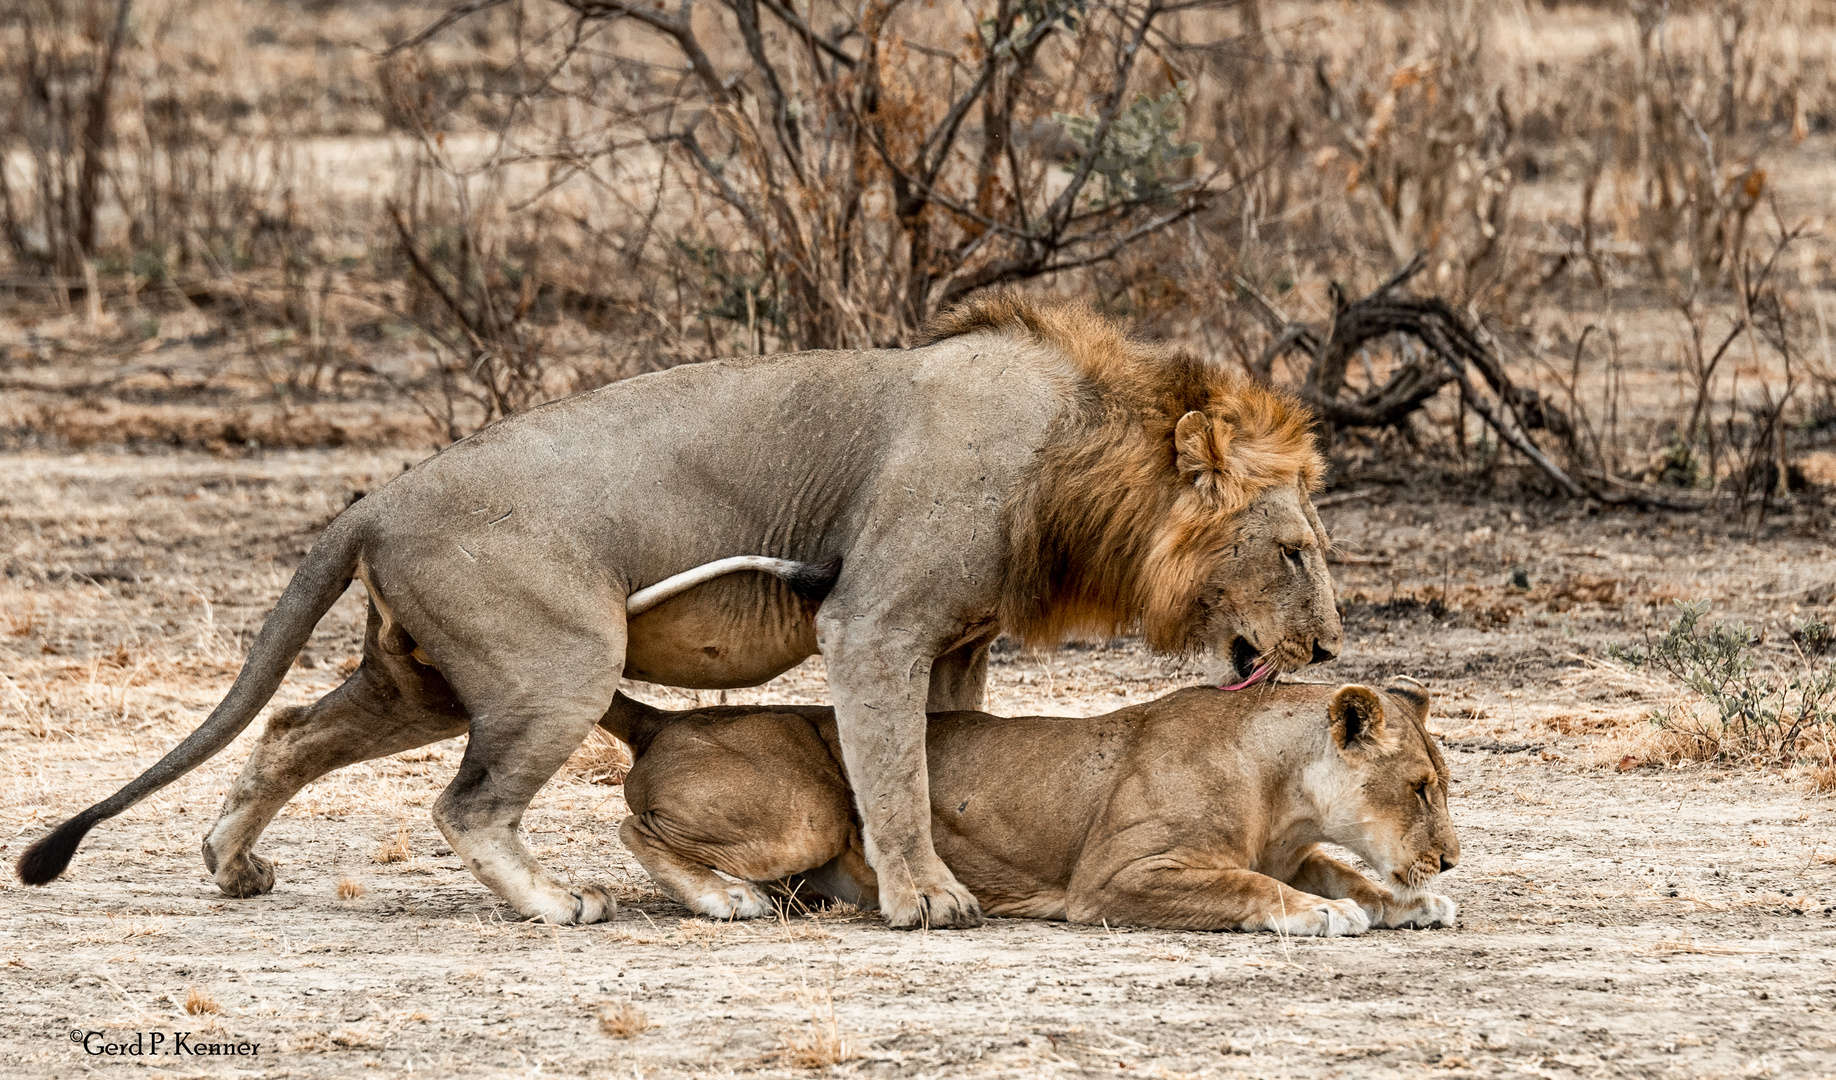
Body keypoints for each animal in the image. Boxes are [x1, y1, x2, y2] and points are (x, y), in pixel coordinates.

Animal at [21, 295, 1343, 929]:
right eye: (1292, 549)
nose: (1330, 646)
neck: (1076, 459)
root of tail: (377, 498)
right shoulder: (875, 621)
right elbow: (894, 772)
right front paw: (925, 900)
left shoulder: (955, 638)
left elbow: (936, 758)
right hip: (560, 659)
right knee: (466, 804)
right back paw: (563, 905)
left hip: (423, 678)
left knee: (292, 732)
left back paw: (232, 865)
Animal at [609, 679, 1454, 933]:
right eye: (1419, 787)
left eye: (1441, 782)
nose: (1451, 859)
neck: (1286, 796)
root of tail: (665, 719)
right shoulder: (1115, 878)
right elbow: (1246, 885)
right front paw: (1323, 915)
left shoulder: (1299, 851)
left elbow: (1349, 872)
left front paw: (1412, 904)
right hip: (807, 813)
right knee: (629, 824)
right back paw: (724, 897)